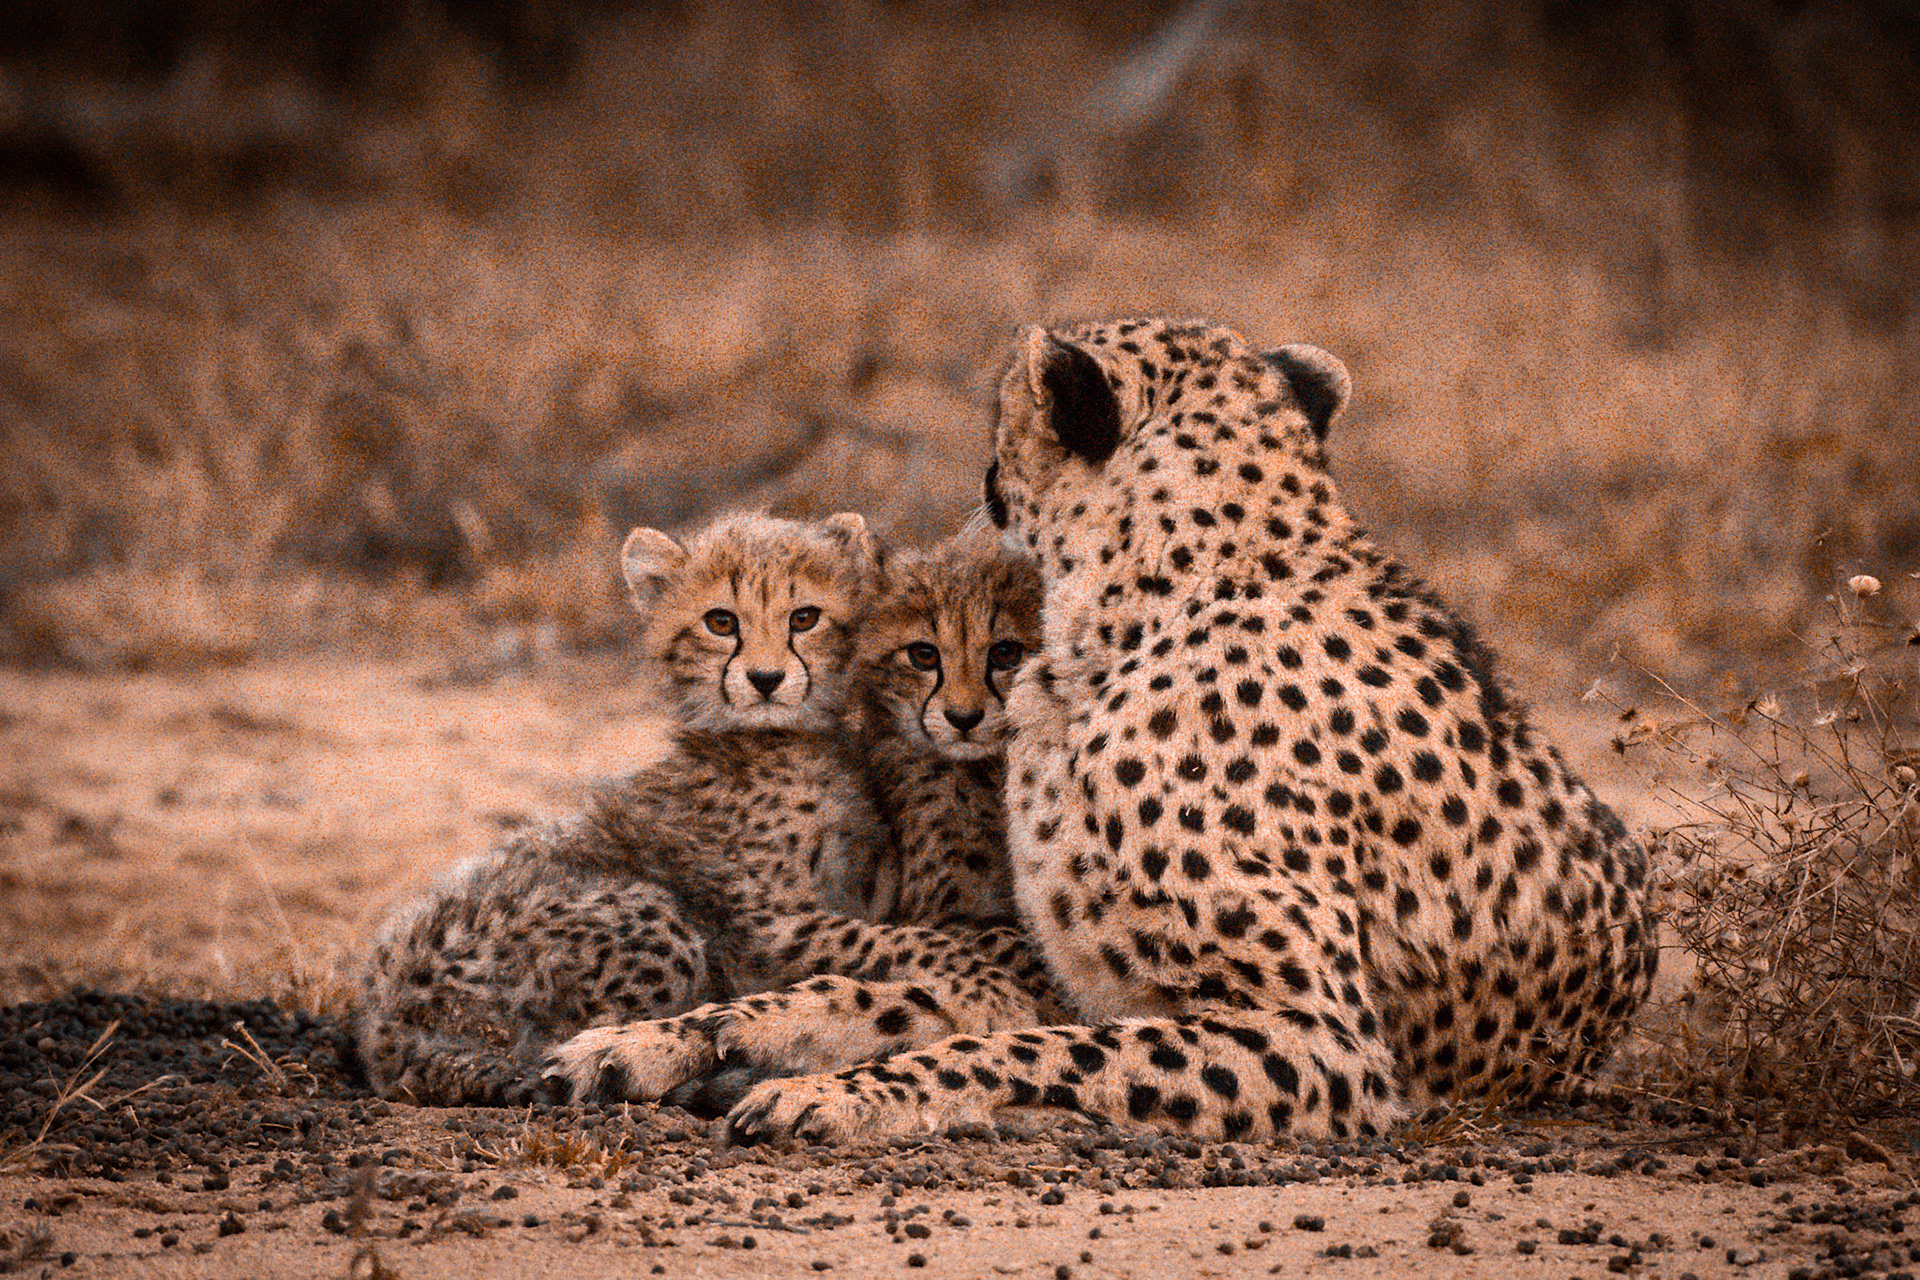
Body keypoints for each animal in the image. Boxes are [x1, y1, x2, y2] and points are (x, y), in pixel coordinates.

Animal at [351, 511, 891, 1106]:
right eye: (721, 622)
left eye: (805, 617)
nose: (766, 679)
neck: (779, 742)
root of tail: (381, 1027)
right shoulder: (769, 924)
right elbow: (892, 941)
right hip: (649, 917)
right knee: (567, 1052)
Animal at [537, 533, 1073, 1108]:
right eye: (924, 655)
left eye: (1006, 653)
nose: (964, 718)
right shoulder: (776, 917)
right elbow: (919, 946)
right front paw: (992, 992)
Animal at [721, 317, 1660, 1147]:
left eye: (1006, 418)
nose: (984, 472)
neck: (1171, 588)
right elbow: (912, 995)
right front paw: (732, 1026)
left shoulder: (1324, 1038)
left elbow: (1027, 1050)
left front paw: (841, 1096)